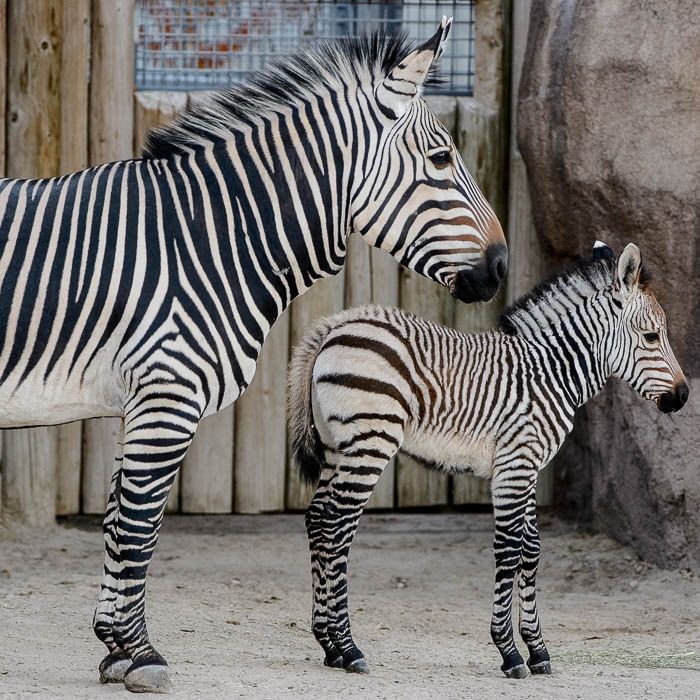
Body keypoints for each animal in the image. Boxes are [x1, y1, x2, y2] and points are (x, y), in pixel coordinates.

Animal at [0, 18, 507, 693]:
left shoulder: (140, 400)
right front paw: (143, 655)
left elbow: (116, 521)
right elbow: (139, 525)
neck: (207, 238)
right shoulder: (168, 394)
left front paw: (114, 649)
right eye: (441, 159)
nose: (502, 267)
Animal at [287, 242, 688, 678]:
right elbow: (509, 548)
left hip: (338, 446)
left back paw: (328, 644)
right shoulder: (515, 464)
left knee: (317, 519)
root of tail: (335, 326)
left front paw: (538, 650)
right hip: (370, 442)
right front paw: (509, 652)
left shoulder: (526, 467)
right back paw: (348, 647)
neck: (550, 373)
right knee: (337, 525)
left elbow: (532, 548)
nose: (684, 396)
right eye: (651, 336)